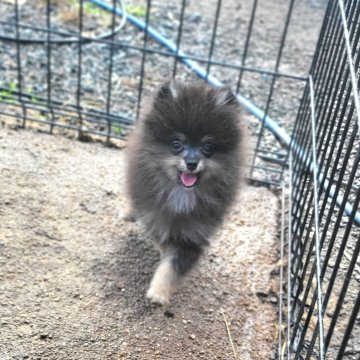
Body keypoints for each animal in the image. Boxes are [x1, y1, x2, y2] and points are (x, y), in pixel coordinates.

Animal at [125, 80, 243, 306]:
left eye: (208, 147)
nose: (192, 162)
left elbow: (173, 265)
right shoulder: (156, 216)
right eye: (176, 144)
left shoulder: (193, 234)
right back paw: (128, 212)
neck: (181, 193)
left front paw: (159, 292)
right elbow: (162, 241)